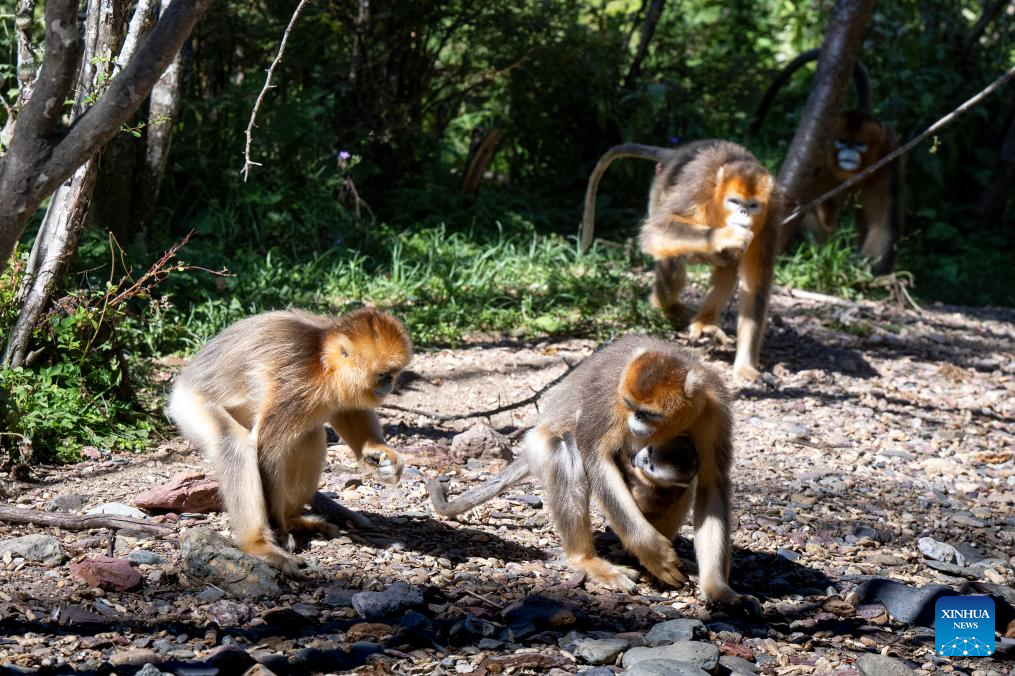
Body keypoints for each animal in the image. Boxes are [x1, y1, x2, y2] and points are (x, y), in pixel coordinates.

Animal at [170, 308, 412, 572]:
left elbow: (348, 409)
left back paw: (294, 519)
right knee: (235, 444)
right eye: (383, 375)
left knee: (309, 436)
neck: (321, 361)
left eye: (392, 374)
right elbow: (267, 449)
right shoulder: (296, 385)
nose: (390, 383)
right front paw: (278, 530)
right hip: (189, 406)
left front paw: (375, 451)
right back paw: (258, 543)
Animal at [424, 334, 759, 609]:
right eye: (630, 406)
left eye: (648, 414)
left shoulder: (713, 407)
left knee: (685, 484)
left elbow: (711, 484)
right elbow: (594, 457)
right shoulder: (610, 394)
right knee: (565, 453)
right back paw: (588, 561)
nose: (635, 422)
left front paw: (718, 589)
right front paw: (654, 553)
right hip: (541, 443)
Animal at [580, 139, 783, 381]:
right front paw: (725, 235)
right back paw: (669, 307)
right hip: (660, 187)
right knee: (672, 251)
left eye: (753, 205)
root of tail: (675, 153)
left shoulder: (770, 218)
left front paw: (745, 366)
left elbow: (755, 287)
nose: (744, 213)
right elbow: (657, 230)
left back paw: (705, 321)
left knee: (729, 263)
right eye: (735, 202)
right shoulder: (698, 186)